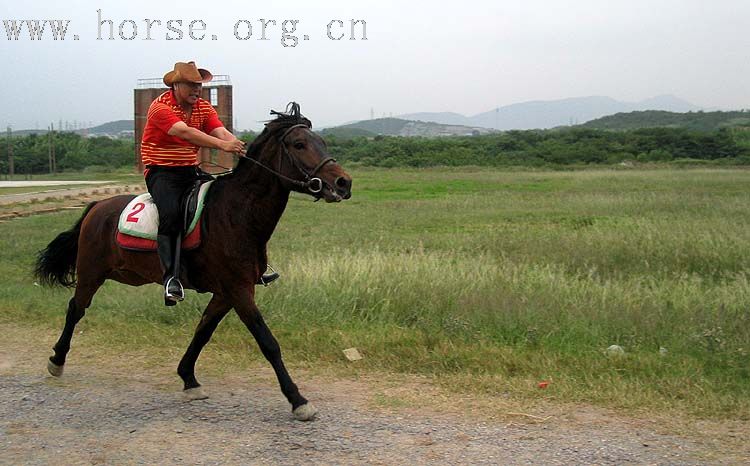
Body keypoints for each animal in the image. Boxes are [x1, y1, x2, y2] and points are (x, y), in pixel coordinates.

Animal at [33, 103, 354, 422]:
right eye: (299, 144)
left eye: (322, 142)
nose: (343, 182)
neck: (235, 213)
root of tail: (97, 207)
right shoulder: (239, 291)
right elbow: (268, 342)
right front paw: (297, 399)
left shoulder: (225, 294)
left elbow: (203, 332)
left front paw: (188, 378)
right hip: (91, 273)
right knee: (76, 309)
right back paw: (57, 360)